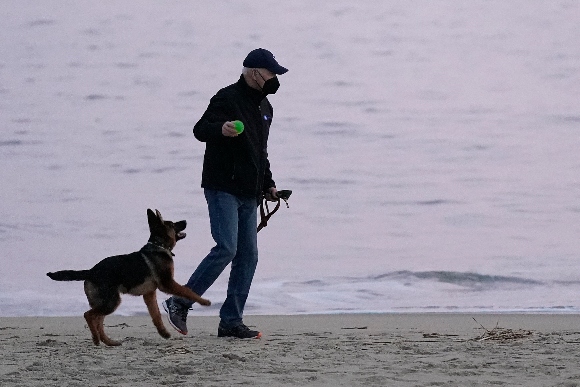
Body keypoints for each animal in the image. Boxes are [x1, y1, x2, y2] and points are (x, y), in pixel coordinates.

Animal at [47, 211, 211, 348]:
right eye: (172, 224)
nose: (185, 221)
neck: (159, 245)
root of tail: (91, 271)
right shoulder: (167, 284)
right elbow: (187, 291)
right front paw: (204, 301)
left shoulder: (149, 293)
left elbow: (156, 314)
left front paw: (163, 333)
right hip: (111, 301)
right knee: (89, 315)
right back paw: (96, 339)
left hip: (105, 301)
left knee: (98, 320)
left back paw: (108, 341)